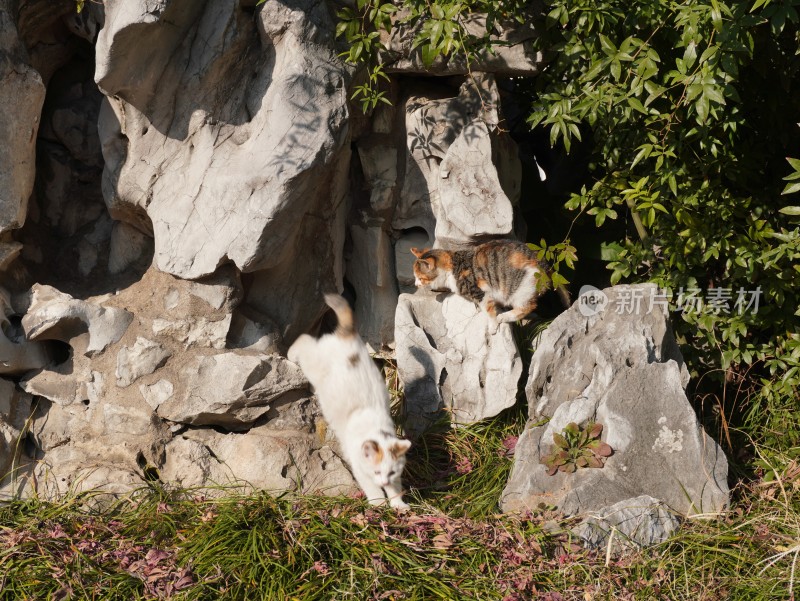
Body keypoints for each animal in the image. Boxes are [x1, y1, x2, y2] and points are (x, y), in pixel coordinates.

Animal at [288, 292, 412, 508]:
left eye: (391, 472)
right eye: (376, 471)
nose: (383, 481)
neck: (376, 430)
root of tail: (349, 335)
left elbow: (395, 488)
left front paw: (399, 505)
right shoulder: (359, 468)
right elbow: (371, 487)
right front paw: (379, 504)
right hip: (313, 362)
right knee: (304, 340)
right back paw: (289, 355)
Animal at [410, 239, 552, 328]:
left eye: (420, 278)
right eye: (416, 277)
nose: (416, 285)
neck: (453, 266)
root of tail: (544, 265)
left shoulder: (480, 292)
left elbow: (489, 310)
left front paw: (493, 327)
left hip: (521, 288)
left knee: (528, 307)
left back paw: (504, 317)